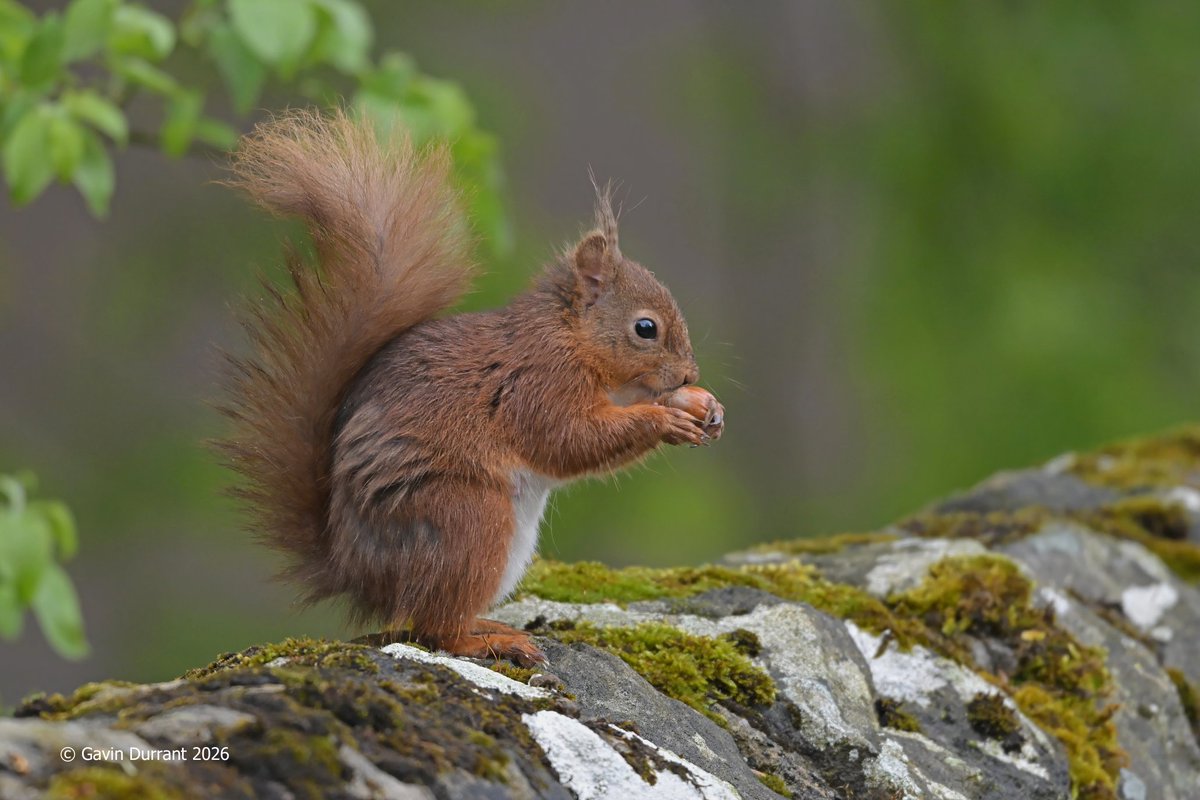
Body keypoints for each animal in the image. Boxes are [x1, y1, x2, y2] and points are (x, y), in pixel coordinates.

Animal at [218, 110, 724, 666]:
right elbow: (567, 439)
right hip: (467, 519)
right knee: (435, 629)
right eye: (645, 328)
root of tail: (357, 572)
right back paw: (492, 641)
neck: (570, 336)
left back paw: (487, 624)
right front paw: (666, 419)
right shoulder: (538, 382)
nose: (688, 376)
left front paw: (708, 409)